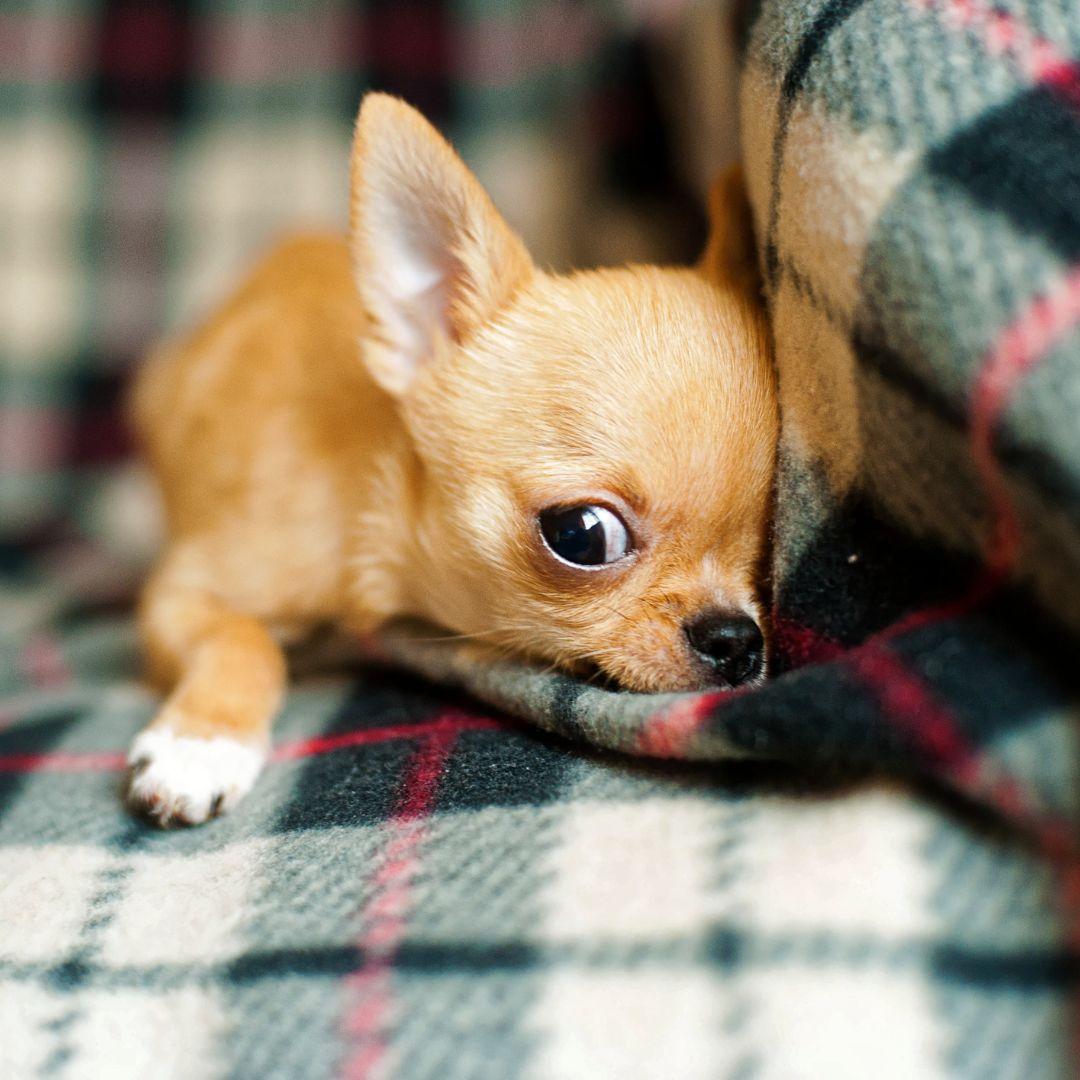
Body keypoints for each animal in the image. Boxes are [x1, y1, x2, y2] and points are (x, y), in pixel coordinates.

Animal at [126, 92, 777, 820]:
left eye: (770, 535)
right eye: (582, 535)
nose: (735, 640)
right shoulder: (179, 594)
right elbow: (245, 637)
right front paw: (202, 743)